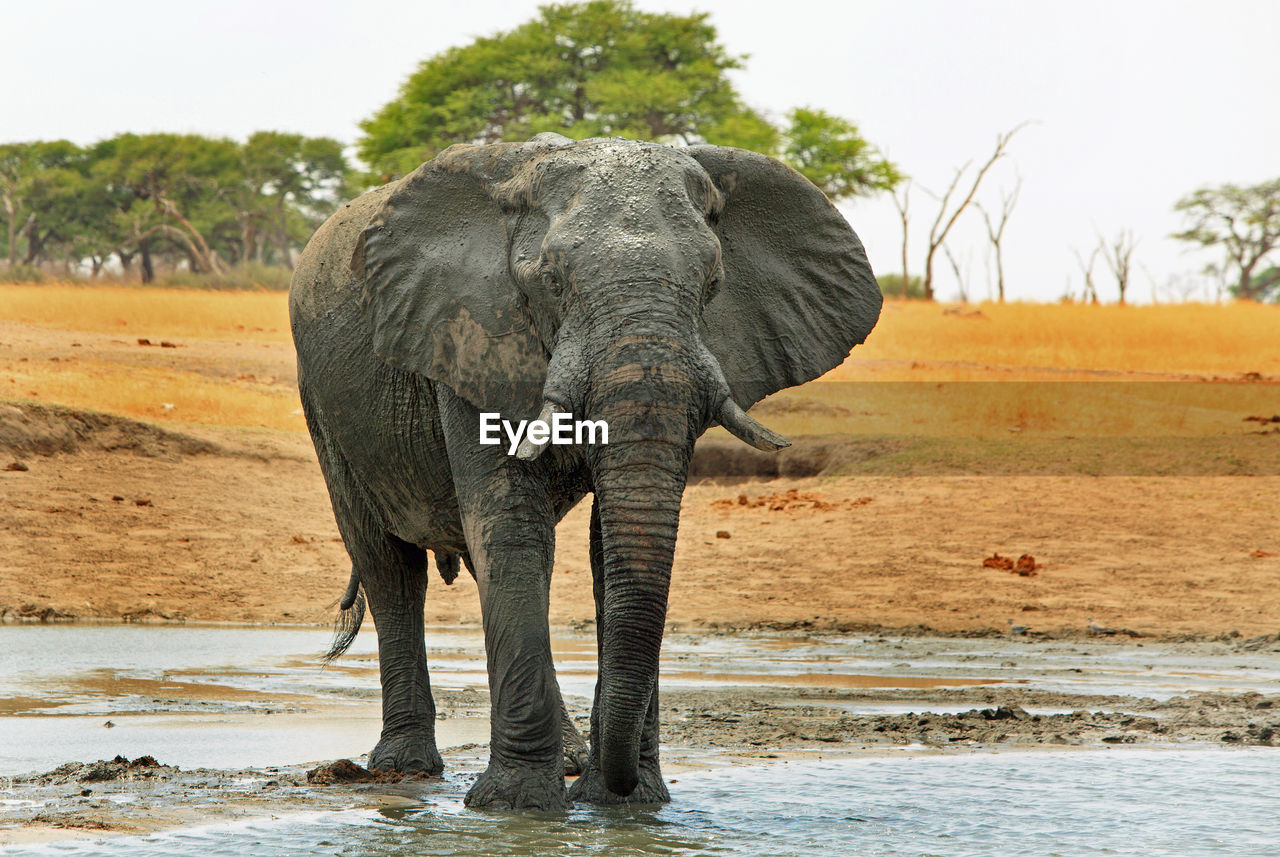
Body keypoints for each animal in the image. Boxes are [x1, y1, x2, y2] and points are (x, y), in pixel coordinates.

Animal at [288, 134, 880, 813]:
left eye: (712, 284)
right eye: (552, 282)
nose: (612, 788)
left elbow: (609, 549)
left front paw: (630, 802)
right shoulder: (467, 334)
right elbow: (513, 532)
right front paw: (518, 806)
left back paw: (568, 759)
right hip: (324, 406)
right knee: (390, 569)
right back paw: (404, 768)